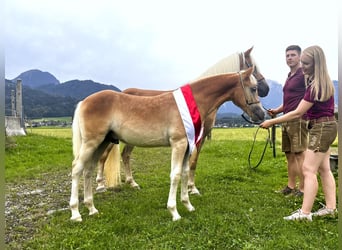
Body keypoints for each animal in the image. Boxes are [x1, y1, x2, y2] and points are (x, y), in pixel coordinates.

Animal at [70, 66, 264, 221]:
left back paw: (92, 208)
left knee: (88, 170)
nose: (261, 114)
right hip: (92, 142)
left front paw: (188, 205)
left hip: (102, 142)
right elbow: (176, 175)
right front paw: (174, 212)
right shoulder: (179, 144)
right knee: (77, 168)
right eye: (254, 88)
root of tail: (84, 101)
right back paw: (76, 213)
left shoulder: (188, 147)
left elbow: (185, 172)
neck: (193, 103)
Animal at [96, 47, 270, 195]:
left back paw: (132, 183)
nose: (266, 89)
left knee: (125, 155)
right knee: (104, 156)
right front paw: (192, 188)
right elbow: (193, 162)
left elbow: (192, 162)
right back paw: (100, 185)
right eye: (253, 66)